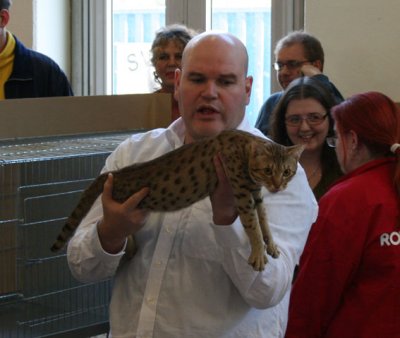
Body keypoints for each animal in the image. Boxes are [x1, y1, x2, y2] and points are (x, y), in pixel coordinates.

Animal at [52, 130, 304, 272]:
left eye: (287, 172)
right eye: (268, 170)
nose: (278, 186)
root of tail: (115, 173)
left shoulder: (256, 193)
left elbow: (265, 221)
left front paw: (271, 245)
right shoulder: (242, 193)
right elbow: (252, 225)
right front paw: (258, 253)